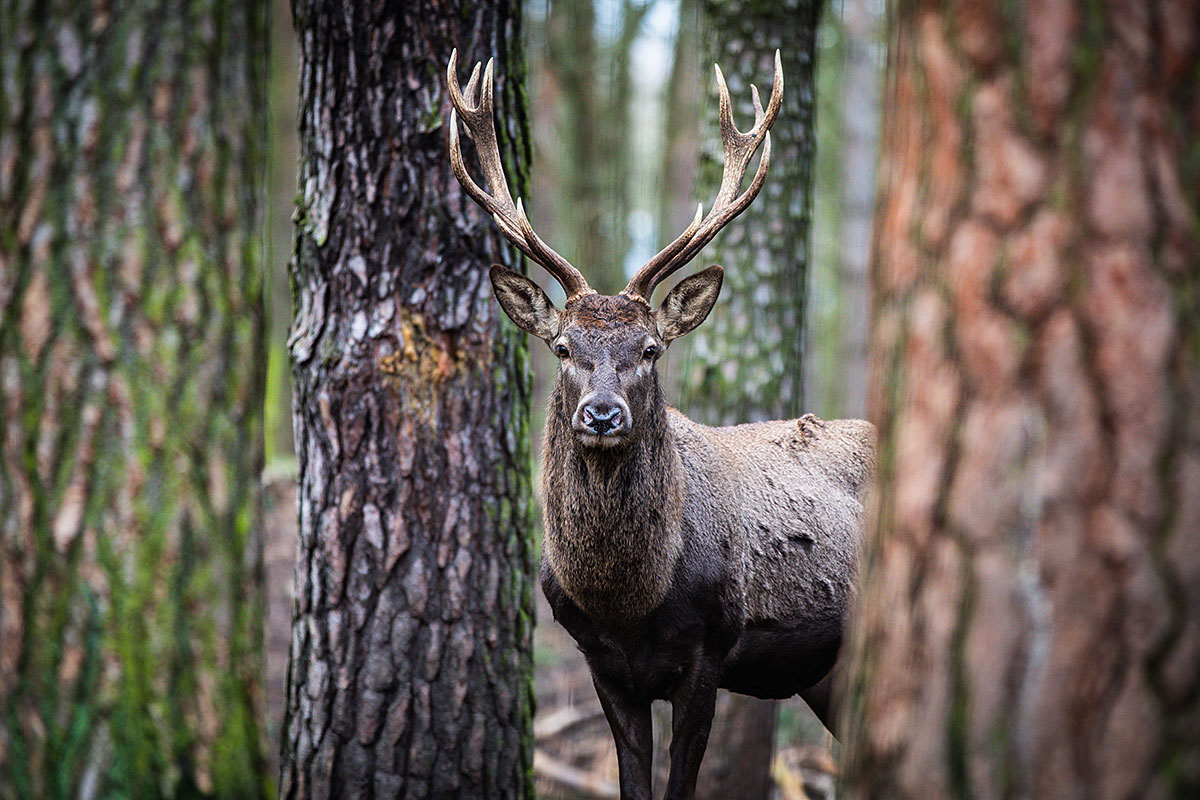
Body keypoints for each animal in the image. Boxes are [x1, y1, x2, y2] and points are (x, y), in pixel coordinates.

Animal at [446, 49, 875, 800]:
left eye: (650, 348)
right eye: (563, 348)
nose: (602, 413)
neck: (628, 602)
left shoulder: (710, 649)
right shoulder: (602, 665)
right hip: (826, 674)